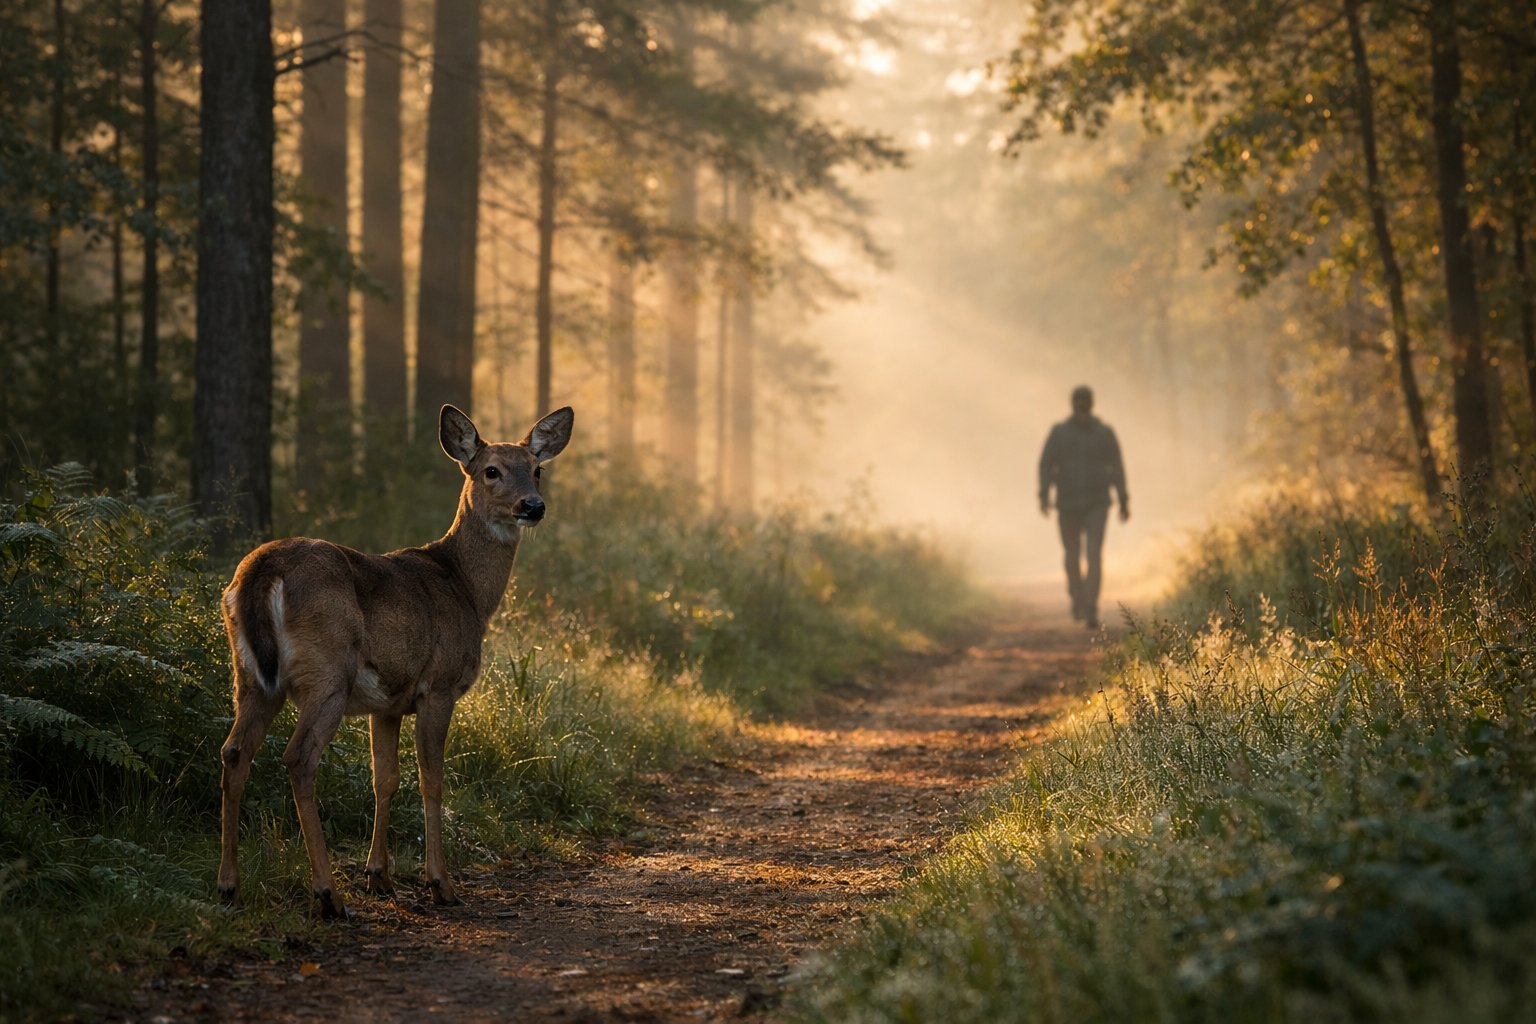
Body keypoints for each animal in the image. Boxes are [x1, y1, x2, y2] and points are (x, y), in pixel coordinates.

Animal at [216, 404, 574, 918]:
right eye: (491, 470)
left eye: (537, 468)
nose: (533, 506)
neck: (466, 589)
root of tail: (261, 572)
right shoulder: (438, 685)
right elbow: (431, 780)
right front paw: (440, 882)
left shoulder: (385, 703)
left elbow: (384, 778)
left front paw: (378, 876)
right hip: (327, 672)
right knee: (299, 757)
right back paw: (327, 894)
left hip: (249, 674)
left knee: (234, 751)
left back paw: (229, 886)